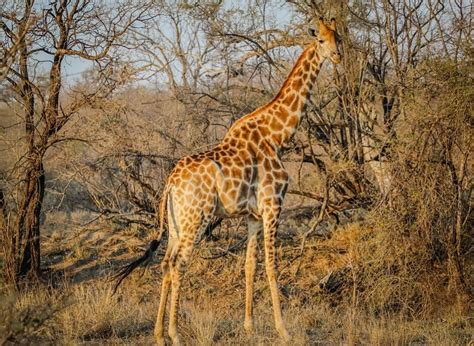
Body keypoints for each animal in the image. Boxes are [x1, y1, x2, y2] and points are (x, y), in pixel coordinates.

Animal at [116, 16, 342, 346]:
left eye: (339, 38)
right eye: (321, 40)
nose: (338, 57)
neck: (277, 136)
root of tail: (170, 183)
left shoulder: (253, 215)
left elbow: (249, 266)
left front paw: (249, 326)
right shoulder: (274, 206)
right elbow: (272, 266)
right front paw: (283, 329)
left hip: (176, 223)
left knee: (165, 263)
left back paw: (158, 333)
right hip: (197, 218)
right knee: (178, 264)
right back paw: (175, 334)